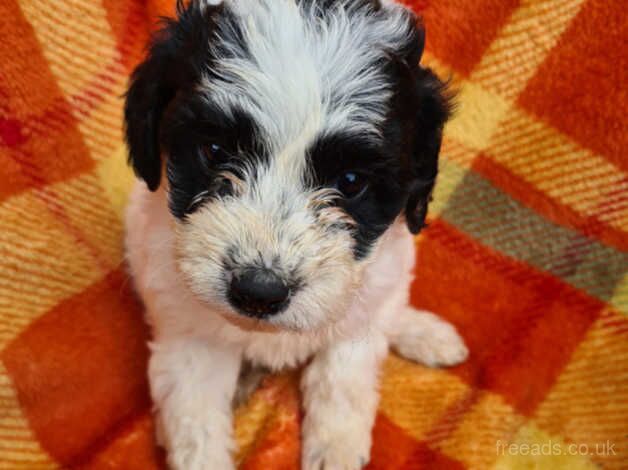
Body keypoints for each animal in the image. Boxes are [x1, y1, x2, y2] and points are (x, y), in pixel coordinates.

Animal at [124, 1, 466, 468]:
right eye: (214, 152)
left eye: (351, 180)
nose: (259, 291)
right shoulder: (188, 334)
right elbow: (195, 420)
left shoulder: (359, 317)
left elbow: (342, 382)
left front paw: (336, 450)